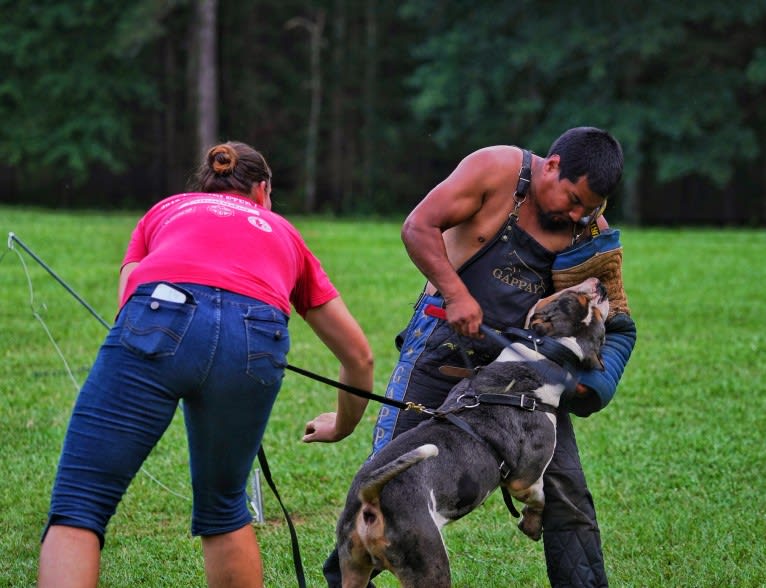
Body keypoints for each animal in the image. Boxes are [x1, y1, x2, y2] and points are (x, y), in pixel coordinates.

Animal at [336, 276, 612, 588]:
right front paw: (531, 524)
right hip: (428, 565)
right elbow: (540, 496)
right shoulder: (525, 479)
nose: (601, 285)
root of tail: (371, 497)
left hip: (353, 565)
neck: (536, 359)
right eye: (576, 300)